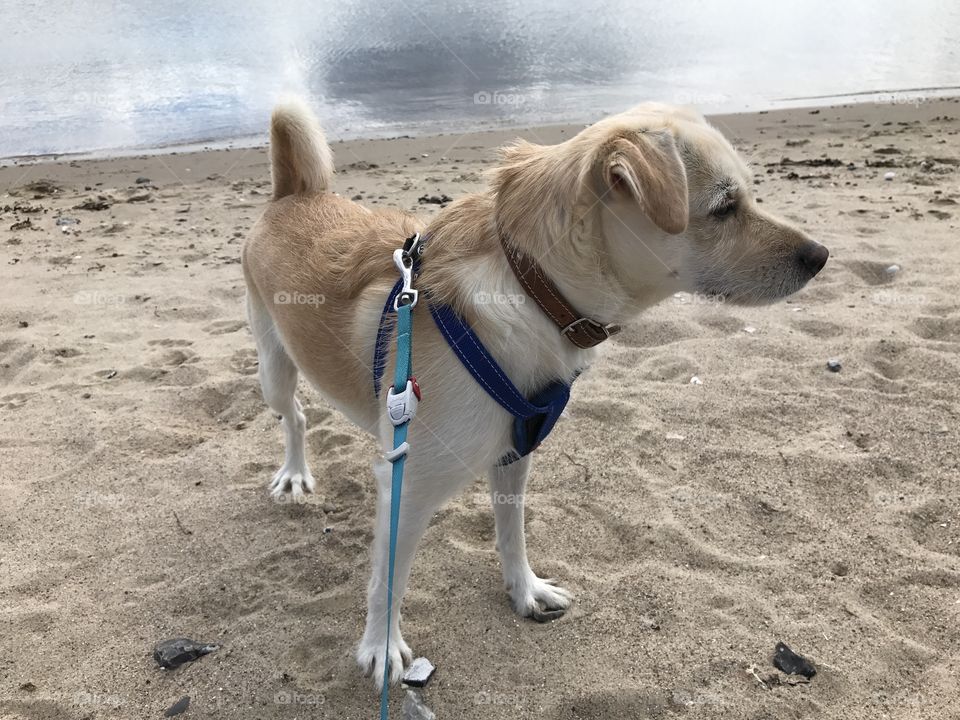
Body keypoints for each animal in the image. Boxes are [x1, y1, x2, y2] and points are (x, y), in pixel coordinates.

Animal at [240, 97, 824, 688]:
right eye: (725, 207)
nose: (821, 255)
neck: (531, 284)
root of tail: (293, 194)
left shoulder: (514, 454)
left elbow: (512, 533)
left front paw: (524, 591)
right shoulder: (414, 486)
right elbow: (389, 580)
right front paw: (381, 648)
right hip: (273, 370)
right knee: (295, 416)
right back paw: (295, 474)